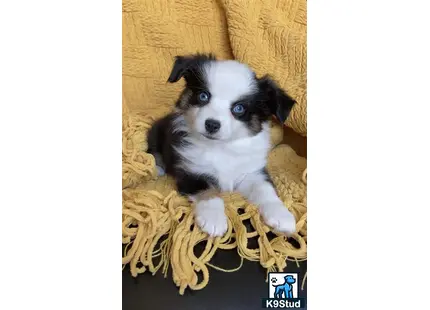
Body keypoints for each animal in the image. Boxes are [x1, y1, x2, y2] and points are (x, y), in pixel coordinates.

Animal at [147, 54, 296, 237]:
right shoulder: (191, 171)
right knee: (153, 151)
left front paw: (282, 215)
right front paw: (214, 219)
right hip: (156, 131)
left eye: (239, 108)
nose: (211, 124)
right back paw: (158, 168)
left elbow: (265, 190)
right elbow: (209, 191)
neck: (221, 147)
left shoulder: (251, 172)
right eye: (203, 96)